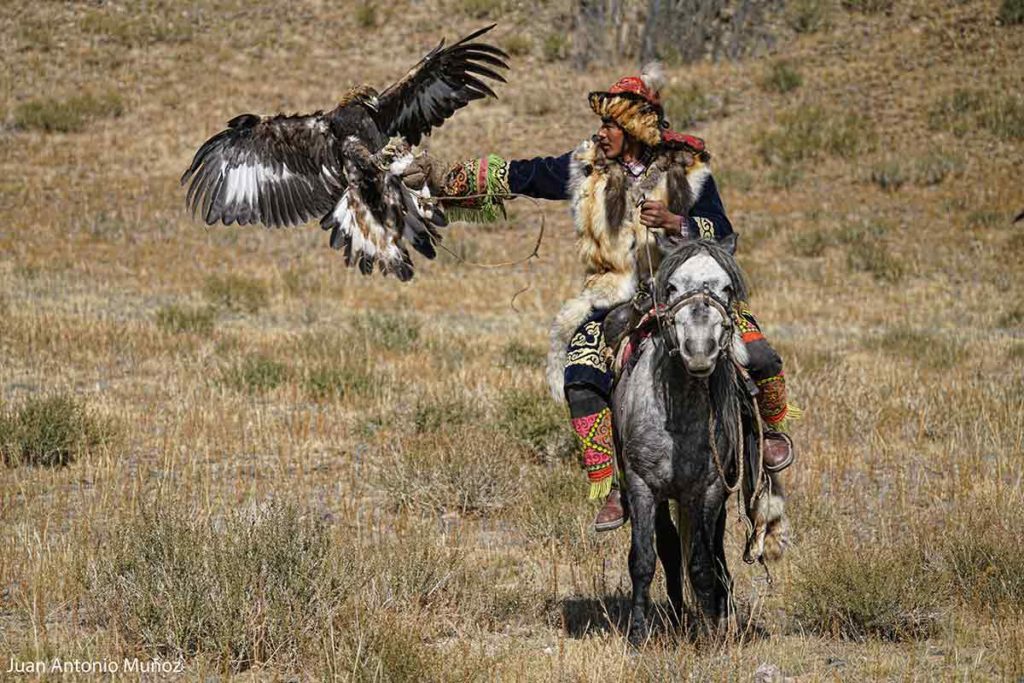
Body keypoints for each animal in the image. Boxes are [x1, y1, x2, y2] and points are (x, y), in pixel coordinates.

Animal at [610, 237, 786, 643]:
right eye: (672, 286)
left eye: (727, 288)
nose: (700, 349)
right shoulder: (643, 486)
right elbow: (644, 558)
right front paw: (638, 633)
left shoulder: (710, 489)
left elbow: (704, 563)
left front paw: (713, 631)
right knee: (670, 547)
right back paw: (676, 616)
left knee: (715, 552)